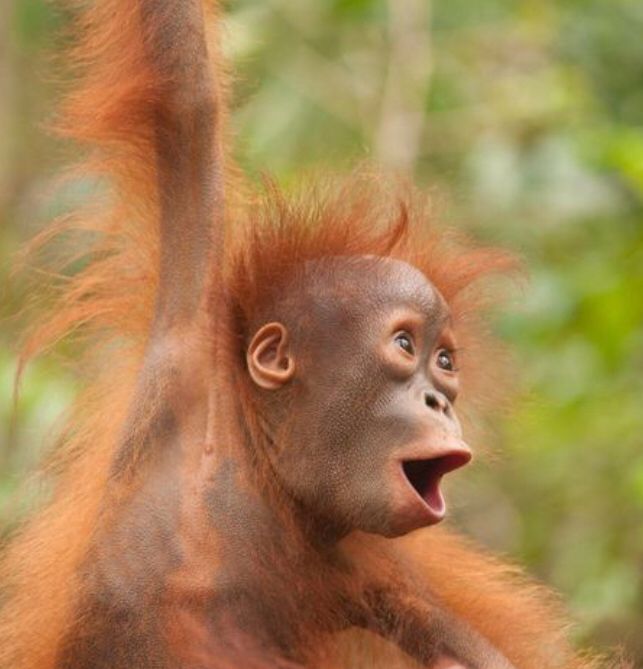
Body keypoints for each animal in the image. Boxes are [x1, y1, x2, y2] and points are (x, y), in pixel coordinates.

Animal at [0, 1, 628, 668]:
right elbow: (186, 96)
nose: (439, 400)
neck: (263, 467)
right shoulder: (192, 346)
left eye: (446, 362)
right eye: (405, 346)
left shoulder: (365, 566)